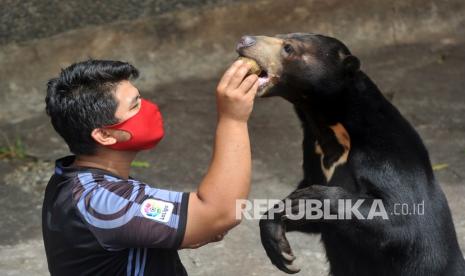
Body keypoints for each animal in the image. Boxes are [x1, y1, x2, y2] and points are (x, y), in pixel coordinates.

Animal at [236, 34, 464, 276]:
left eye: (288, 47)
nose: (244, 40)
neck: (329, 128)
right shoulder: (312, 151)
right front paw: (280, 245)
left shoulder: (386, 154)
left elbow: (401, 217)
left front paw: (307, 201)